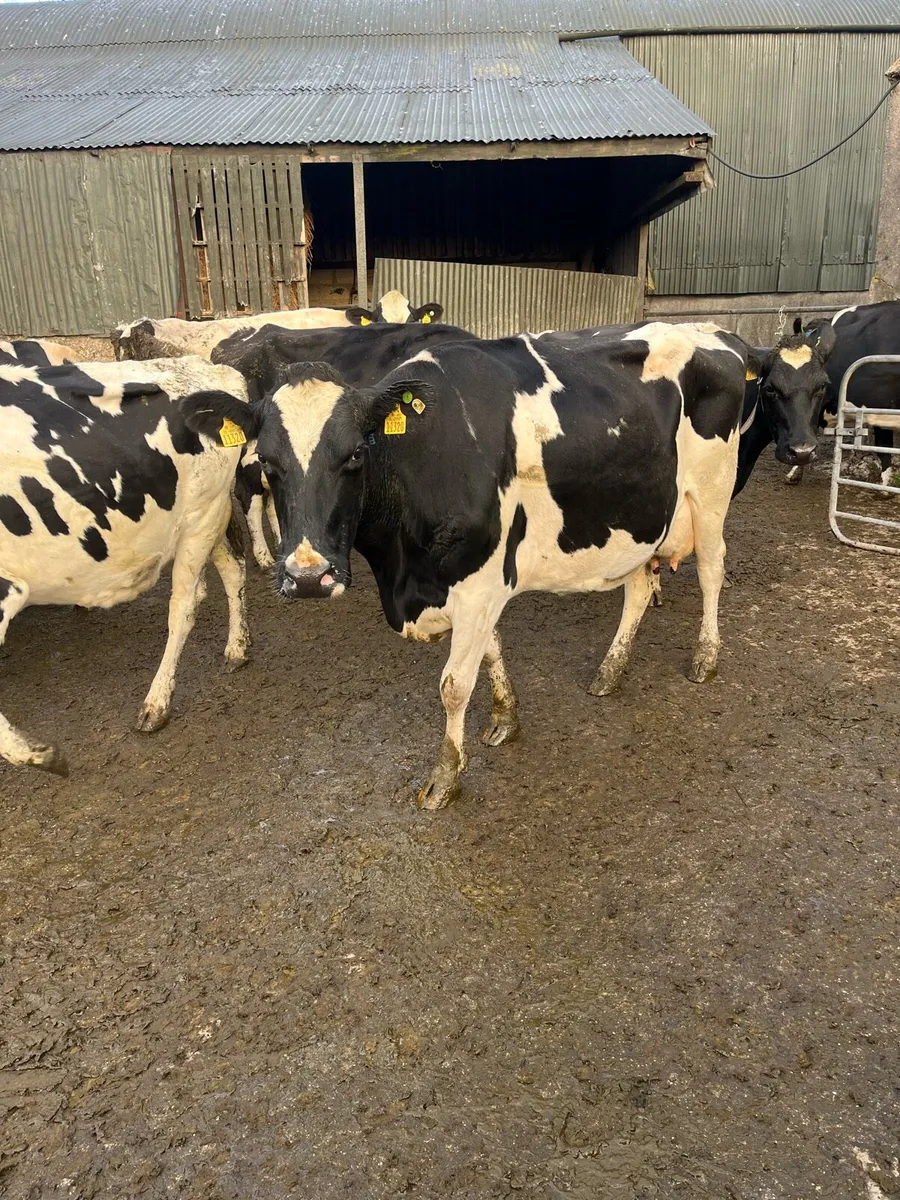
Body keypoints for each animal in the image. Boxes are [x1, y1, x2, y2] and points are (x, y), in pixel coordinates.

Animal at [0, 357, 251, 775]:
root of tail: (205, 365)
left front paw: (42, 756)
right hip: (208, 519)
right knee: (233, 569)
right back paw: (238, 649)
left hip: (202, 517)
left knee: (184, 605)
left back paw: (157, 704)